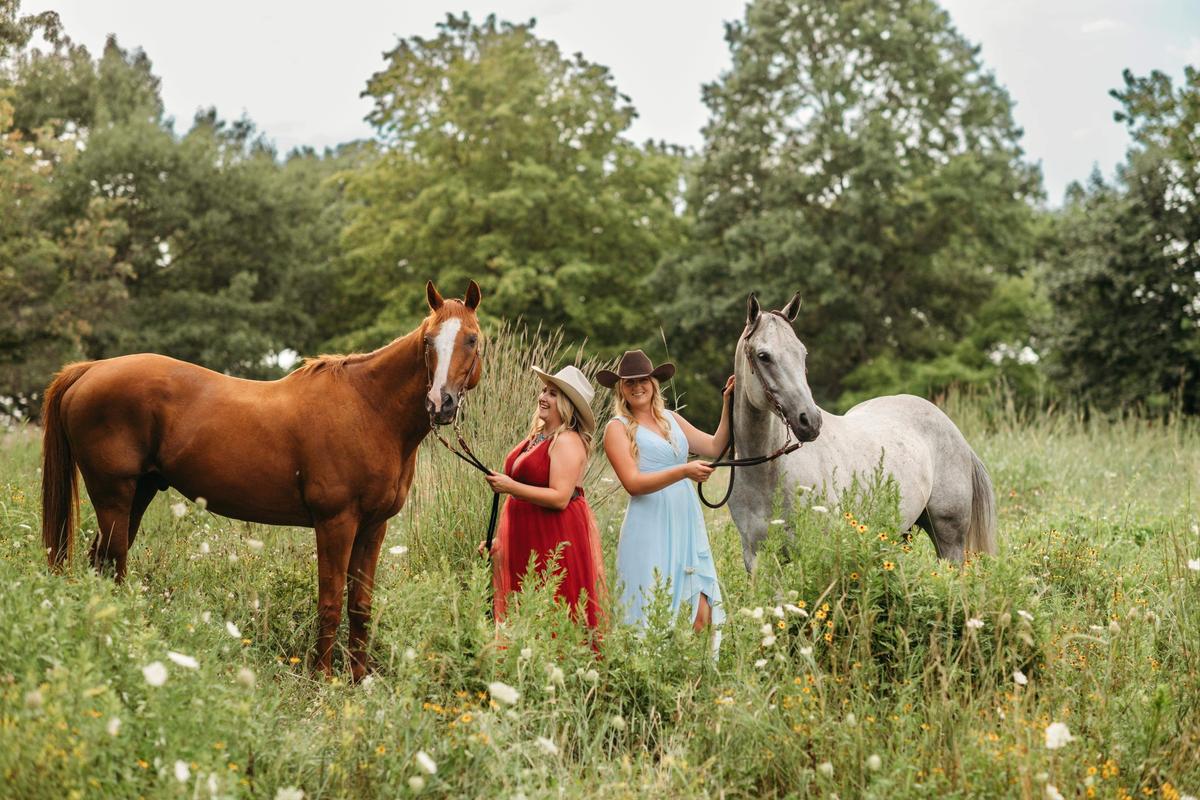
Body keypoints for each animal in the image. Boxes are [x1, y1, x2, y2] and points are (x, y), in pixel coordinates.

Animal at [40, 280, 483, 680]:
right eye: (428, 341)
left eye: (472, 339)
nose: (440, 403)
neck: (368, 408)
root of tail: (91, 369)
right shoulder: (335, 523)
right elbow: (330, 602)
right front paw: (322, 679)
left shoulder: (374, 526)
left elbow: (360, 604)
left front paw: (359, 680)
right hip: (113, 494)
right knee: (113, 560)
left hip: (138, 493)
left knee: (102, 560)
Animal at [726, 292, 997, 573]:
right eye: (763, 356)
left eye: (802, 353)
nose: (810, 421)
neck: (768, 472)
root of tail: (952, 429)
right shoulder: (756, 557)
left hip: (949, 539)